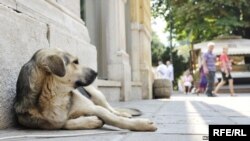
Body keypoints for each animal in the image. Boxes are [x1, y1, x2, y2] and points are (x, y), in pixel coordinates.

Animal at [13, 48, 156, 132]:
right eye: (75, 62)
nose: (97, 73)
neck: (54, 95)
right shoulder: (49, 123)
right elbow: (64, 123)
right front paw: (92, 121)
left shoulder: (93, 107)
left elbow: (113, 118)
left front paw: (140, 125)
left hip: (97, 94)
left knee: (111, 110)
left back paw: (123, 113)